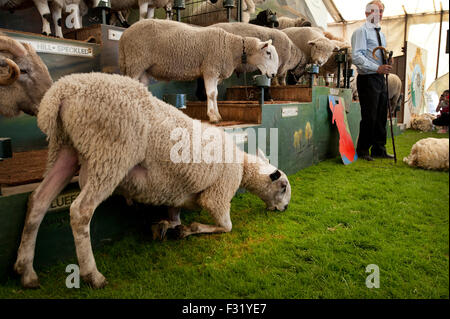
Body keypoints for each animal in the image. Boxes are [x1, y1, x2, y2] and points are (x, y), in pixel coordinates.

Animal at [14, 72, 292, 290]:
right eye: (283, 187)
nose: (284, 209)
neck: (242, 166)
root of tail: (61, 92)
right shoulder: (218, 195)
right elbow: (226, 226)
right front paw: (189, 229)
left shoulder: (177, 192)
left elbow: (174, 215)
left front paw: (166, 228)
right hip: (110, 152)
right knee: (81, 211)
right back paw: (93, 275)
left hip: (65, 147)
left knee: (38, 200)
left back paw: (26, 271)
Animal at [118, 18, 280, 123]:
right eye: (268, 53)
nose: (273, 74)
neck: (231, 48)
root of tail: (124, 36)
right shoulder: (210, 69)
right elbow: (211, 94)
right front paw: (213, 116)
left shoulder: (214, 72)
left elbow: (215, 95)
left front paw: (217, 115)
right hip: (135, 62)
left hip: (143, 68)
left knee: (141, 87)